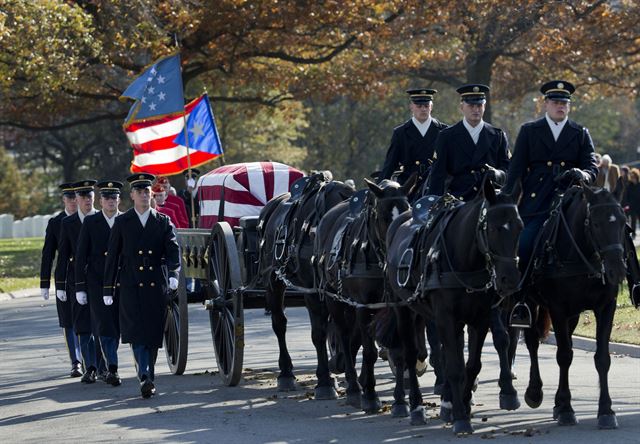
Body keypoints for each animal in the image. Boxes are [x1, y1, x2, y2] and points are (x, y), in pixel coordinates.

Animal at [256, 173, 356, 396]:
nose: (339, 364)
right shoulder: (312, 291)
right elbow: (319, 333)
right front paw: (325, 381)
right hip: (272, 281)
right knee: (279, 323)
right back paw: (285, 373)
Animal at [314, 175, 418, 414]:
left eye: (407, 210)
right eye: (382, 215)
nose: (396, 246)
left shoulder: (395, 306)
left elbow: (398, 351)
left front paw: (400, 401)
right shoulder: (363, 305)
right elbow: (369, 351)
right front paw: (370, 395)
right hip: (335, 299)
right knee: (343, 336)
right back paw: (353, 386)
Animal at [384, 177, 524, 434]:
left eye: (519, 226)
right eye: (492, 227)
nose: (509, 279)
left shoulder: (479, 319)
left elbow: (472, 364)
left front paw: (463, 405)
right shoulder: (446, 318)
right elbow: (456, 368)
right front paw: (460, 416)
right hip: (403, 309)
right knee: (407, 354)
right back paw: (411, 405)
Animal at [516, 182, 624, 428]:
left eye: (623, 222)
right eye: (596, 223)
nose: (617, 271)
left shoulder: (606, 307)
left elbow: (602, 358)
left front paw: (606, 411)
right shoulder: (558, 309)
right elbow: (564, 355)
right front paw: (566, 408)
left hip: (572, 315)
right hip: (531, 303)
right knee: (532, 342)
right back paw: (535, 392)